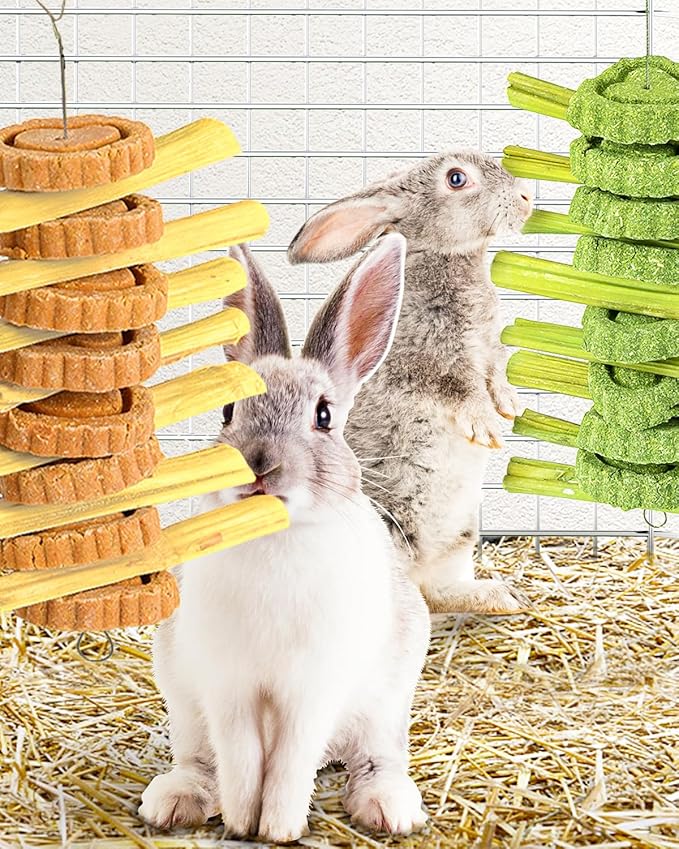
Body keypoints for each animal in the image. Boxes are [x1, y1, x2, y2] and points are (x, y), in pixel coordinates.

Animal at [138, 233, 431, 844]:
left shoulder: (311, 690)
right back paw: (174, 802)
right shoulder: (229, 687)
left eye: (324, 416)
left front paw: (277, 829)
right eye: (227, 410)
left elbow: (291, 761)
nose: (261, 464)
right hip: (182, 699)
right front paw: (243, 823)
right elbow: (244, 761)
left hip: (387, 701)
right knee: (199, 761)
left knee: (376, 759)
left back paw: (389, 808)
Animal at [287, 151, 533, 616]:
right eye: (456, 179)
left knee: (438, 590)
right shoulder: (430, 359)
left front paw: (510, 406)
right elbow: (459, 389)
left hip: (460, 537)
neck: (448, 258)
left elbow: (496, 373)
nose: (527, 196)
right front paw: (486, 426)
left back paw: (499, 596)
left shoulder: (490, 349)